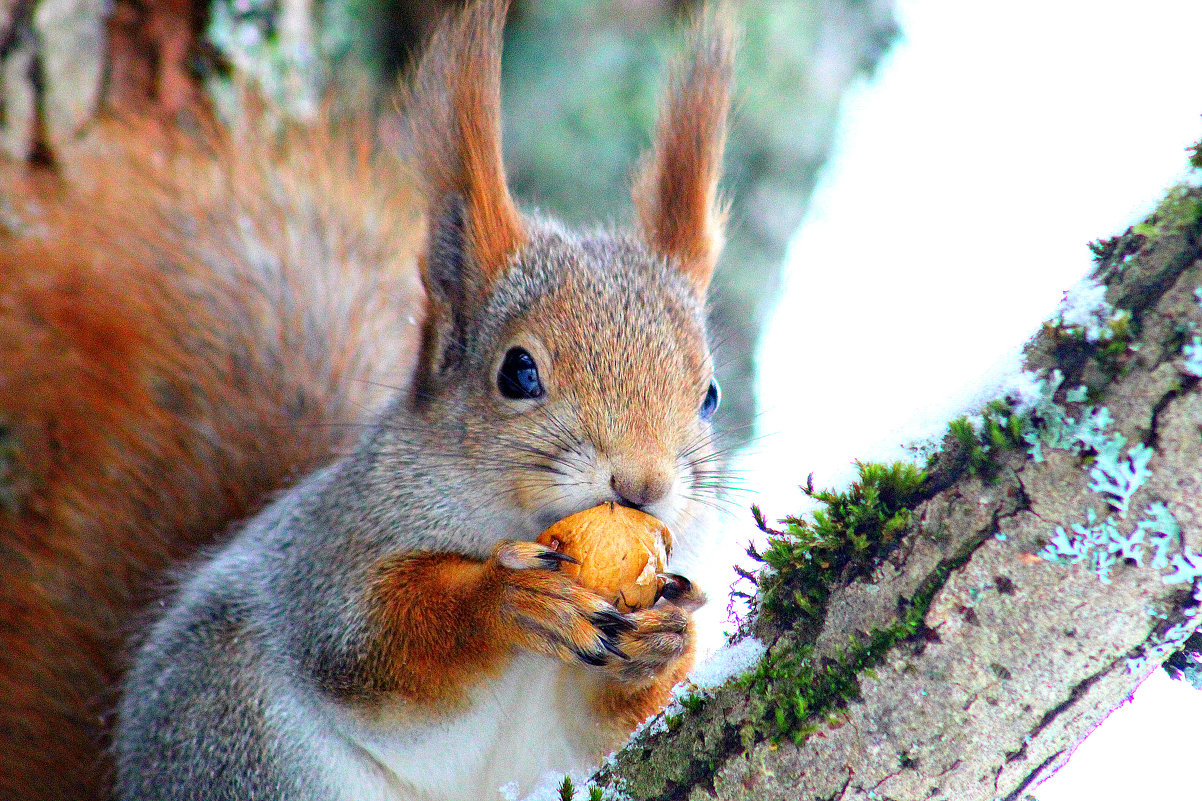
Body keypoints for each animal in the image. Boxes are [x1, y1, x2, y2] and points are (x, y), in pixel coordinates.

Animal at [0, 0, 735, 793]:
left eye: (710, 394)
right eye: (518, 372)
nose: (643, 484)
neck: (511, 518)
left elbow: (605, 720)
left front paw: (670, 638)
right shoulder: (334, 550)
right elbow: (369, 640)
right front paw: (503, 600)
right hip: (248, 739)